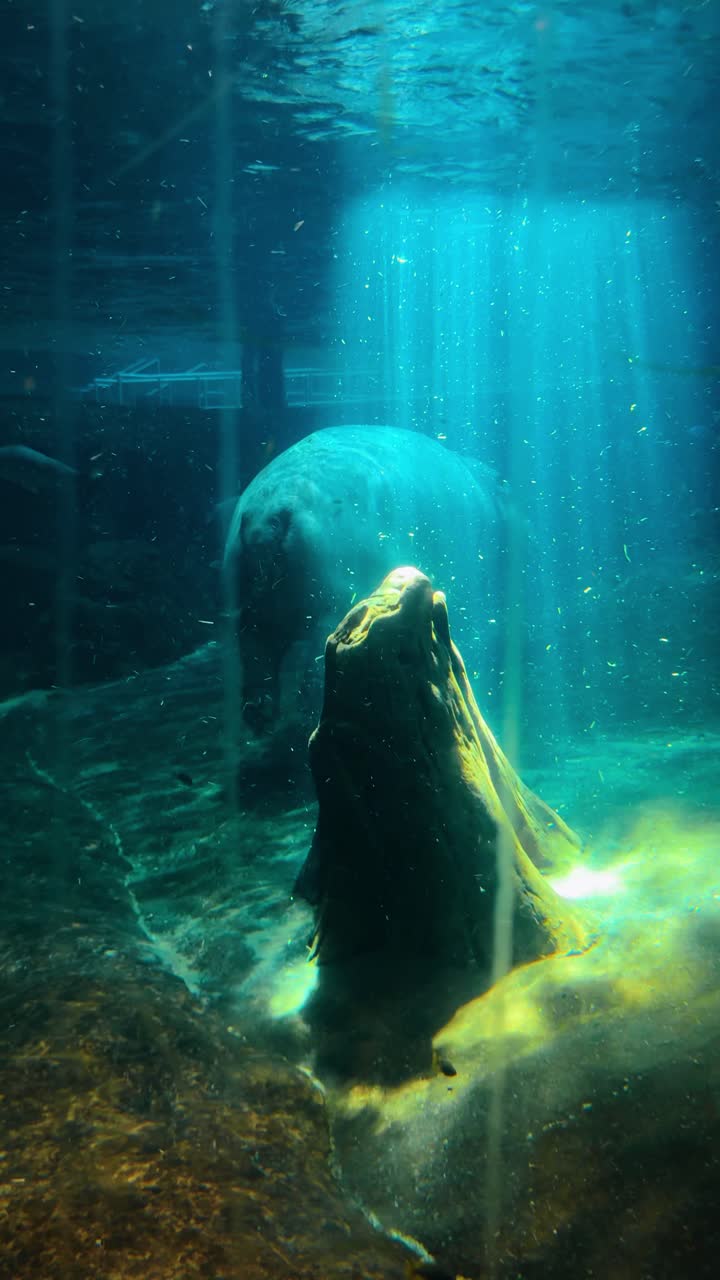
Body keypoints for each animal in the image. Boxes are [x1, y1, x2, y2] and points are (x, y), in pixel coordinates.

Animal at [223, 425, 509, 732]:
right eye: (501, 481)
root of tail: (267, 515)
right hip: (328, 602)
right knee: (316, 657)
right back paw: (310, 714)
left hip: (253, 607)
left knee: (256, 654)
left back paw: (259, 714)